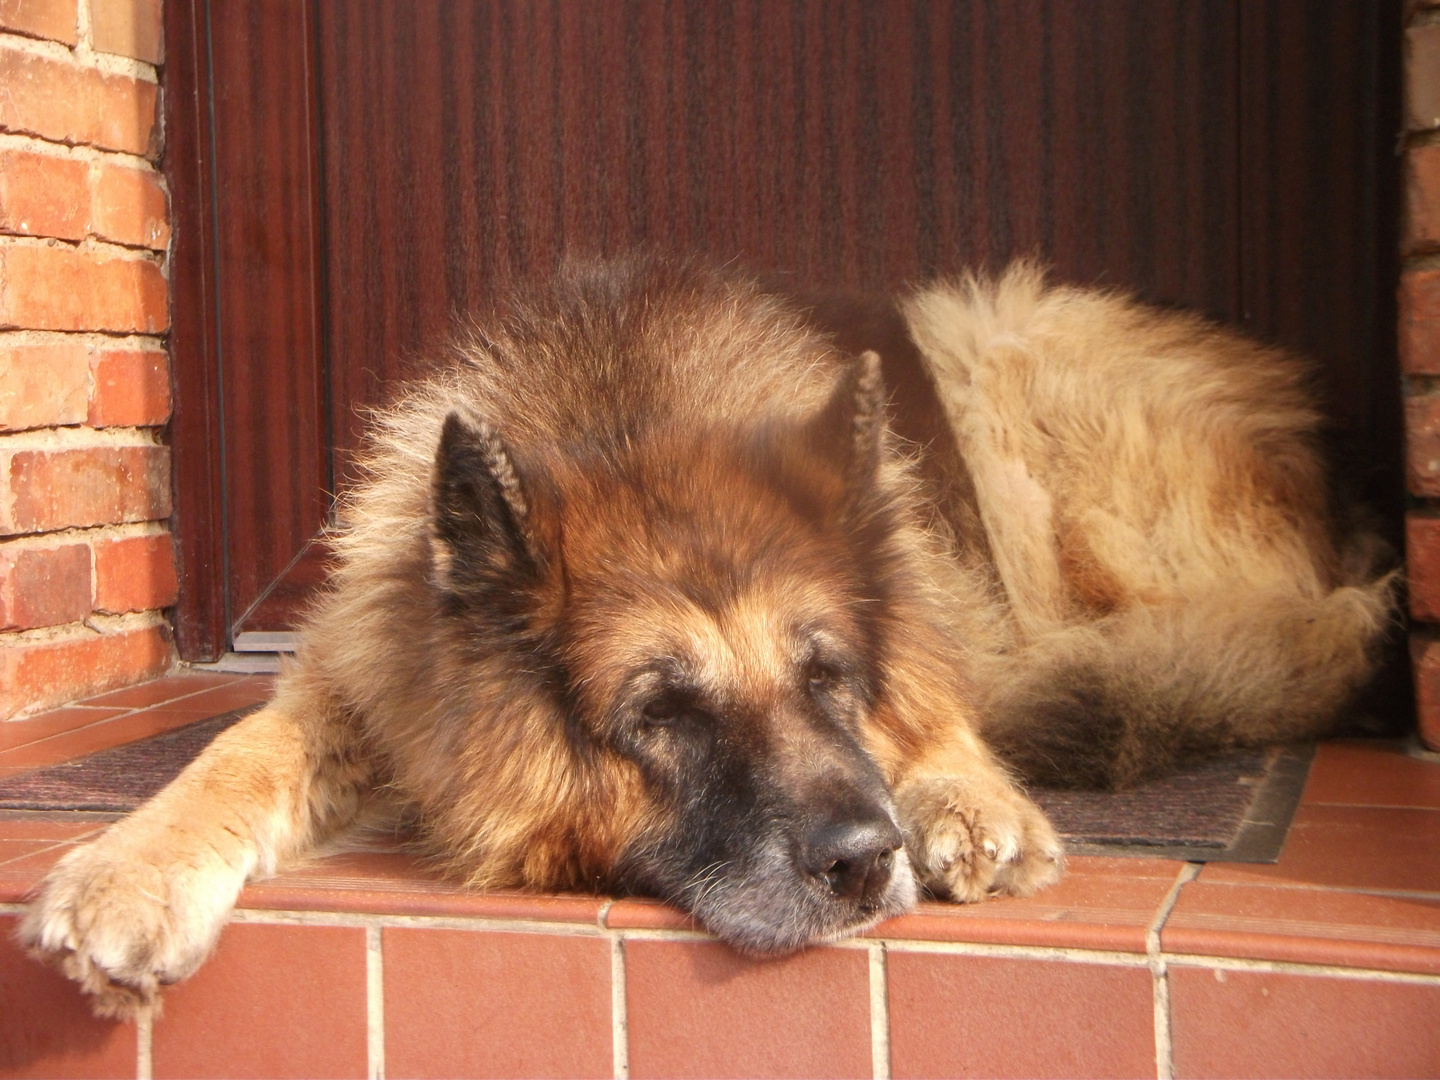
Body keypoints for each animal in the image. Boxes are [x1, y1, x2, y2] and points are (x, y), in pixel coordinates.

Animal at [22, 257, 1393, 1019]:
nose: (865, 864)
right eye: (665, 714)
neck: (628, 410)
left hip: (1000, 348)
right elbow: (237, 754)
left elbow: (935, 704)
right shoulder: (364, 675)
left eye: (828, 677)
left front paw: (967, 792)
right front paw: (128, 865)